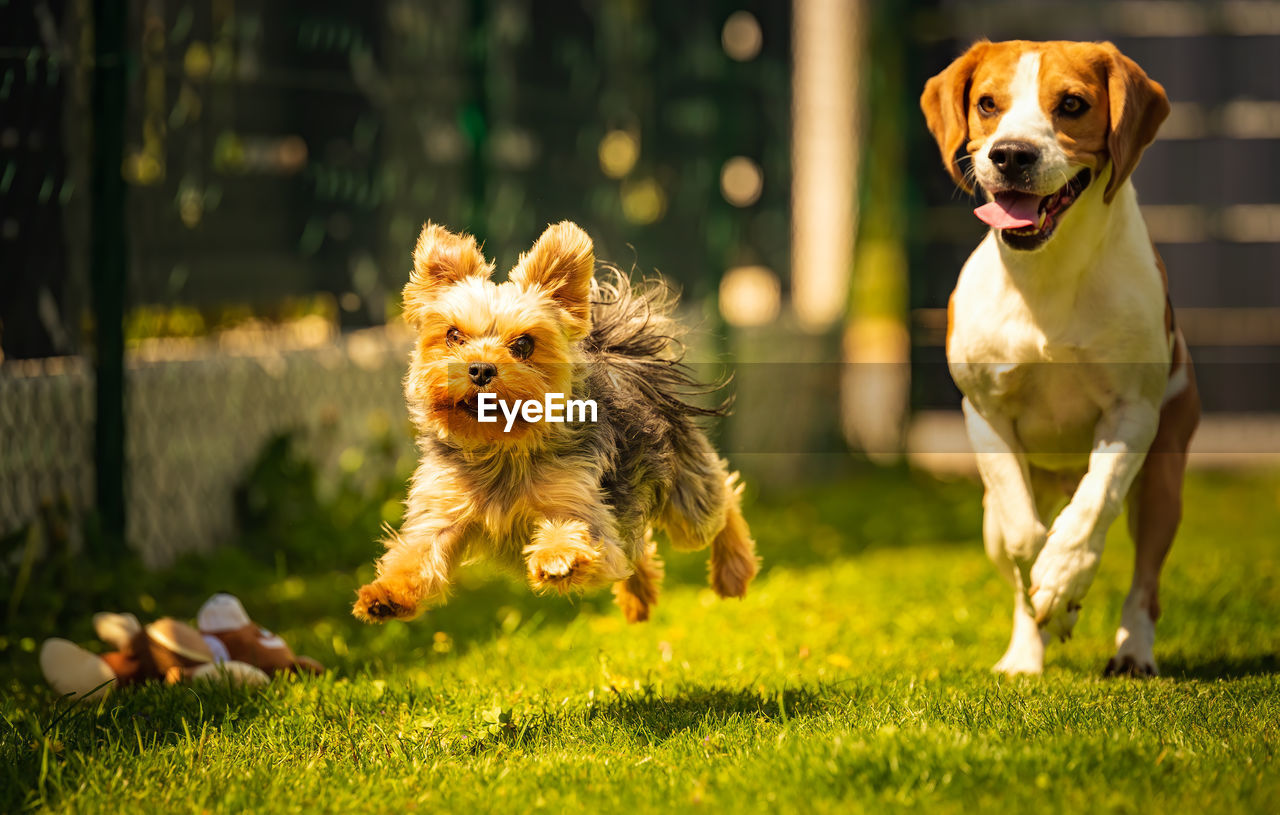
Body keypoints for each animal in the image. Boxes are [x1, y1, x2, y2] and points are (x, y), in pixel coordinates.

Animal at [350, 218, 757, 619]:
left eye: (523, 345)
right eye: (453, 335)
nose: (480, 368)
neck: (501, 447)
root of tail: (621, 357)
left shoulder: (579, 503)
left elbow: (574, 533)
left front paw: (557, 558)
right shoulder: (443, 508)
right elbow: (417, 554)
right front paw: (386, 594)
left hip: (685, 494)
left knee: (722, 502)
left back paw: (733, 573)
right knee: (637, 547)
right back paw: (638, 597)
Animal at [921, 39, 1198, 675]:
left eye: (1072, 104)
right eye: (987, 103)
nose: (1010, 154)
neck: (1046, 276)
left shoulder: (1132, 413)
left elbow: (1095, 506)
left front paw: (1067, 577)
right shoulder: (984, 414)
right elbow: (1026, 537)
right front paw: (1052, 599)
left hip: (1164, 482)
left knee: (1143, 579)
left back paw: (1132, 650)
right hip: (988, 518)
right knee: (1019, 546)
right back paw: (1026, 654)